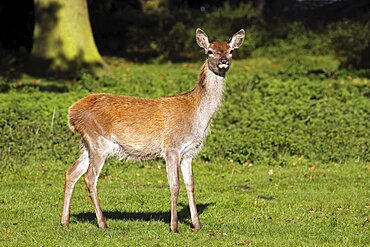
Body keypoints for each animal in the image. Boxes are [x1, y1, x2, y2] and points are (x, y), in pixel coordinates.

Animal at [60, 28, 246, 233]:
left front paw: (197, 224)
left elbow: (190, 185)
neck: (197, 116)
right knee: (89, 178)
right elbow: (174, 185)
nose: (224, 60)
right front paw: (174, 226)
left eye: (231, 50)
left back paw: (65, 221)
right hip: (98, 141)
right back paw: (102, 222)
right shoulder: (172, 148)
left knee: (71, 172)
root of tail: (72, 113)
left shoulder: (189, 152)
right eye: (210, 51)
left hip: (88, 144)